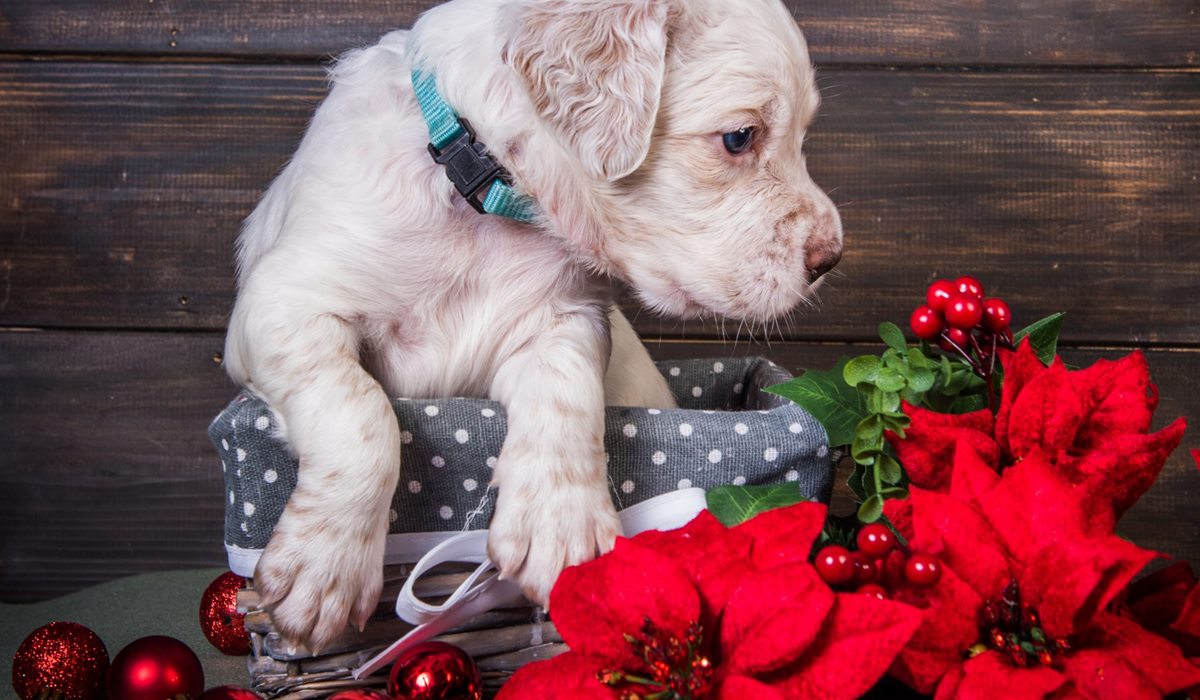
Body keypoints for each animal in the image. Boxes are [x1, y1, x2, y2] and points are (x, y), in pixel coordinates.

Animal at [225, 0, 844, 653]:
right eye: (739, 138)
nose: (831, 258)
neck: (480, 184)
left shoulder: (565, 318)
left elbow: (566, 392)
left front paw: (560, 525)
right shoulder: (283, 300)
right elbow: (359, 408)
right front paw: (322, 568)